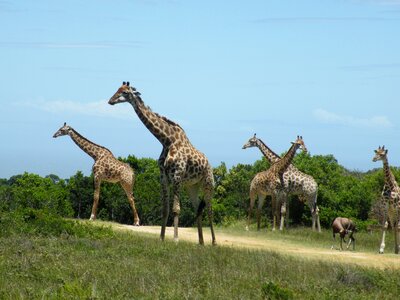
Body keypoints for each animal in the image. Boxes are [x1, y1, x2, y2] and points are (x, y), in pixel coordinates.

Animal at [108, 81, 216, 245]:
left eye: (125, 92)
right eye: (117, 89)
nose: (110, 100)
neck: (167, 140)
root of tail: (209, 164)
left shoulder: (177, 176)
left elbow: (176, 209)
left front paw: (176, 239)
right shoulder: (163, 177)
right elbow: (165, 209)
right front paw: (161, 238)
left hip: (207, 183)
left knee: (209, 209)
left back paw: (214, 242)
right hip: (192, 186)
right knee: (198, 207)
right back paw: (201, 242)